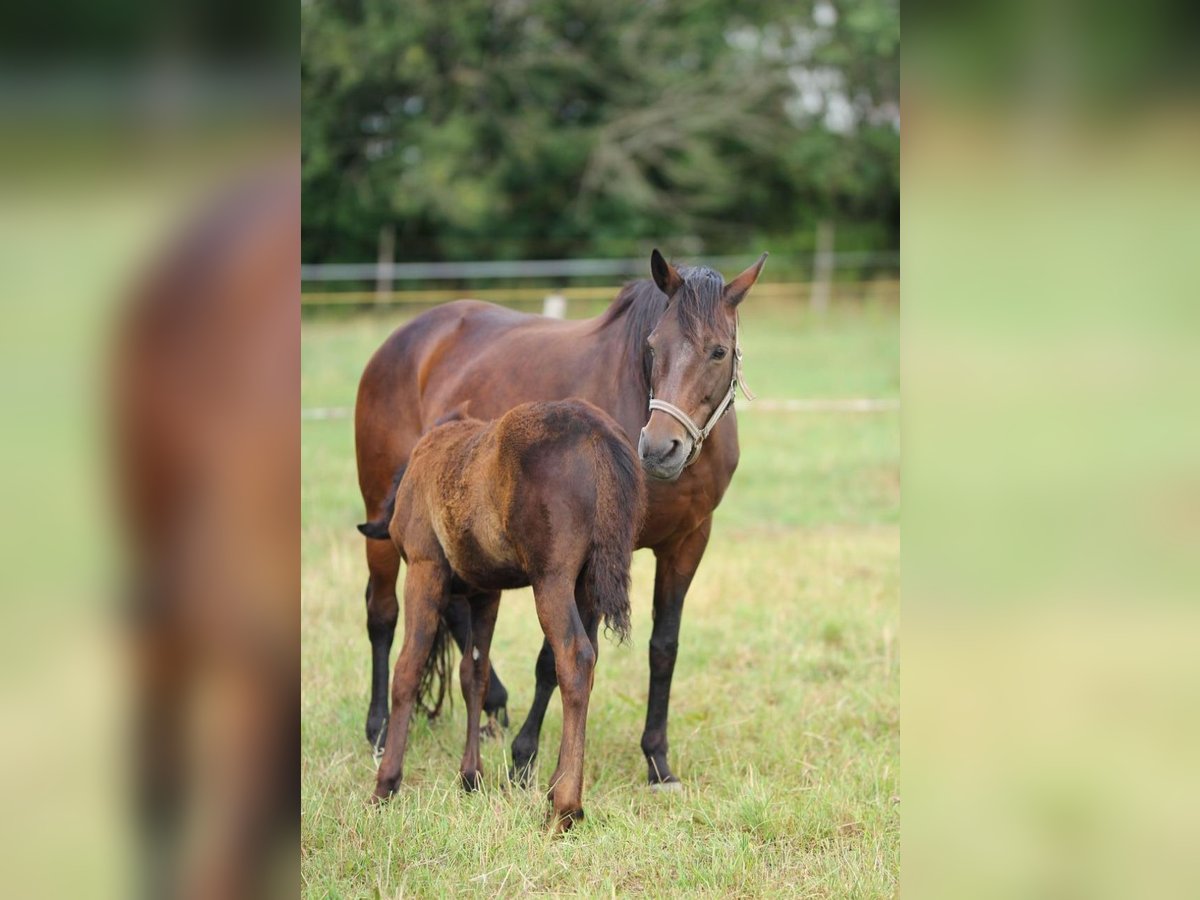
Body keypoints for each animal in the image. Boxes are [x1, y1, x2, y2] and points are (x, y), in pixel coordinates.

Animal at [355, 400, 643, 830]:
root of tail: (598, 434)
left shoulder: (425, 569)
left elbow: (407, 670)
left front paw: (386, 784)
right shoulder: (485, 594)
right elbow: (474, 675)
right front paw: (470, 775)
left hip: (551, 579)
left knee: (575, 658)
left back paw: (565, 807)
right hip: (585, 584)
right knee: (588, 660)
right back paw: (555, 790)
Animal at [357, 250, 768, 787]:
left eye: (719, 352)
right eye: (653, 345)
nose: (660, 448)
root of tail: (401, 341)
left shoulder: (688, 542)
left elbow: (664, 647)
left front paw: (657, 760)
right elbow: (557, 657)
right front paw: (525, 756)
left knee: (458, 610)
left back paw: (491, 707)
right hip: (383, 520)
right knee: (382, 614)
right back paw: (380, 729)